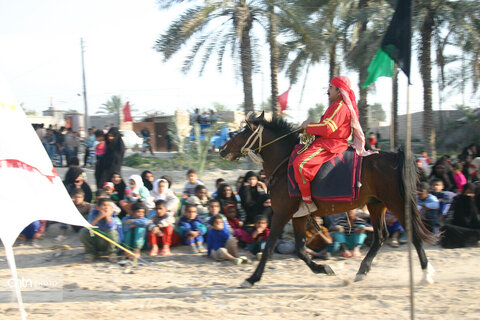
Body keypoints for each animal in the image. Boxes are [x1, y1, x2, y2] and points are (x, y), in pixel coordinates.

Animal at [219, 112, 436, 288]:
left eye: (242, 132)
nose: (222, 149)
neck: (284, 165)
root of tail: (393, 156)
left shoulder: (282, 213)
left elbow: (270, 246)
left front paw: (252, 278)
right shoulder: (298, 215)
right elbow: (300, 250)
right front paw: (324, 269)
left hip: (396, 203)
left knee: (412, 234)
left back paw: (426, 274)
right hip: (376, 204)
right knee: (380, 236)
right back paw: (362, 271)